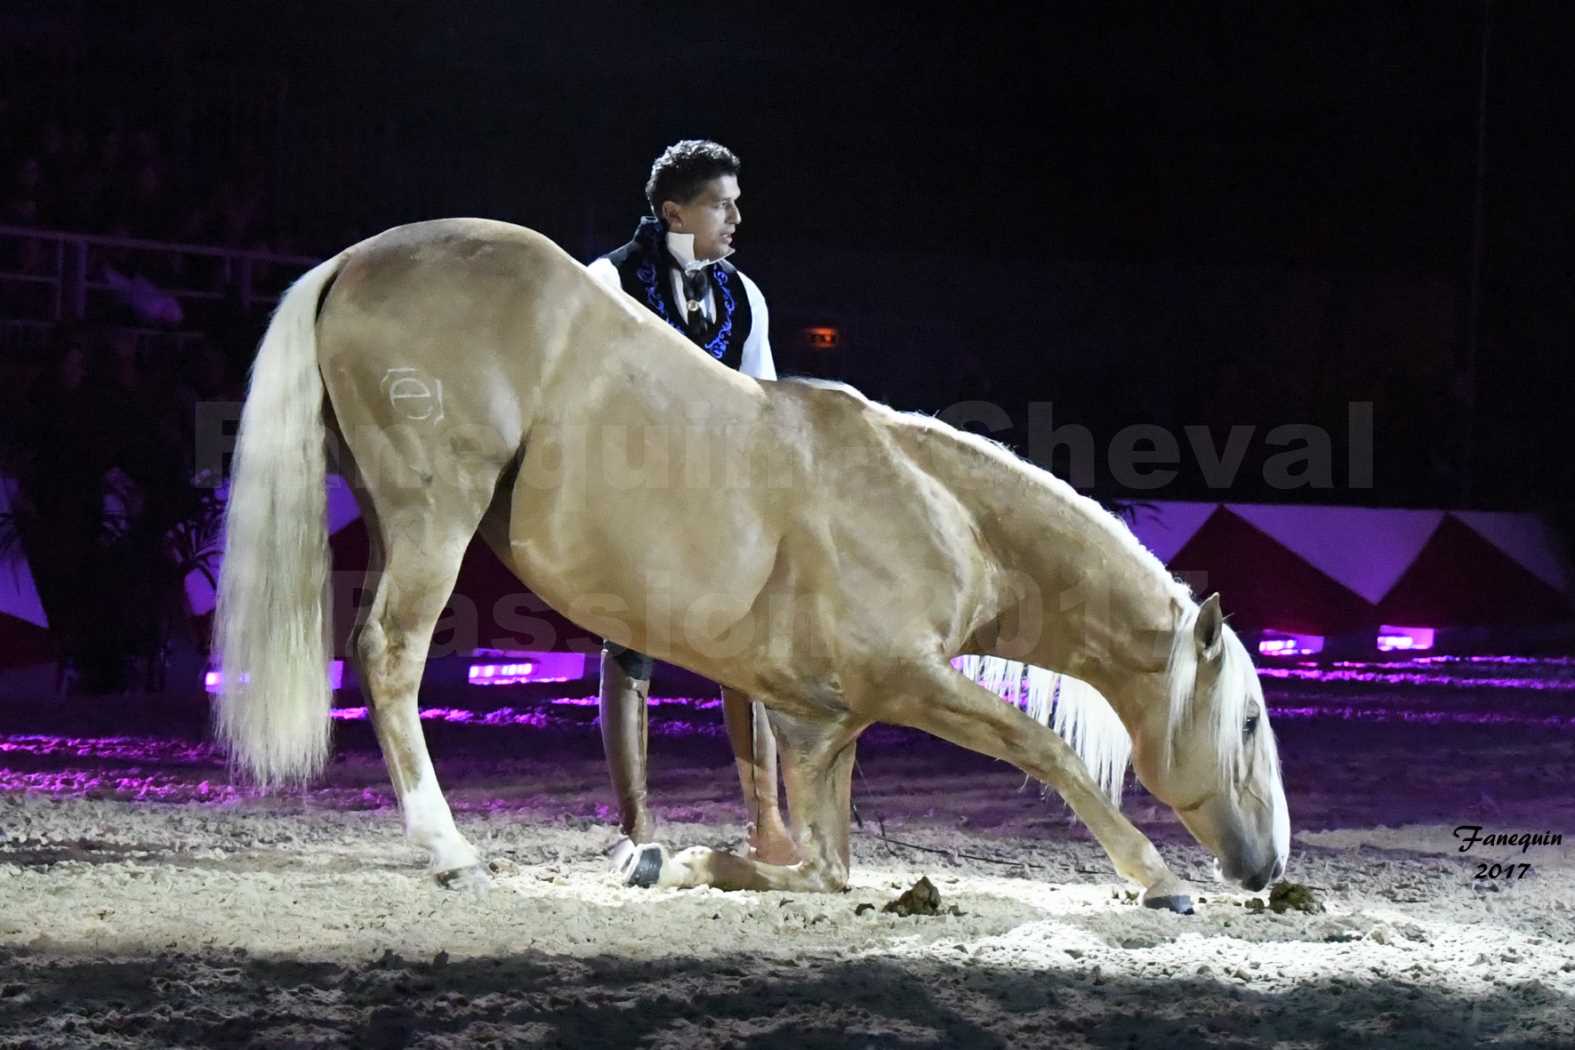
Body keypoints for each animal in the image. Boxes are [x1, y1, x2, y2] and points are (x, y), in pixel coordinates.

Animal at [215, 220, 1285, 913]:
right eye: (1245, 721)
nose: (1268, 866)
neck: (939, 512)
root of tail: (355, 260)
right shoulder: (913, 680)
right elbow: (1041, 749)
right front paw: (1157, 879)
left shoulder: (821, 727)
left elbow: (824, 866)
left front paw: (689, 867)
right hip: (434, 522)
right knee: (390, 658)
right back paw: (449, 852)